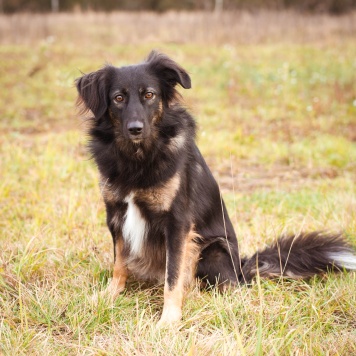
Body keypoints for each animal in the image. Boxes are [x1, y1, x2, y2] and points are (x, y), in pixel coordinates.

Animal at [77, 50, 356, 326]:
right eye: (118, 98)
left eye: (149, 95)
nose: (135, 129)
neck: (137, 157)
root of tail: (241, 267)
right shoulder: (115, 214)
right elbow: (119, 262)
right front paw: (109, 295)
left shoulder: (177, 223)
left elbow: (173, 277)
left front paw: (168, 320)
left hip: (213, 250)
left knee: (221, 285)